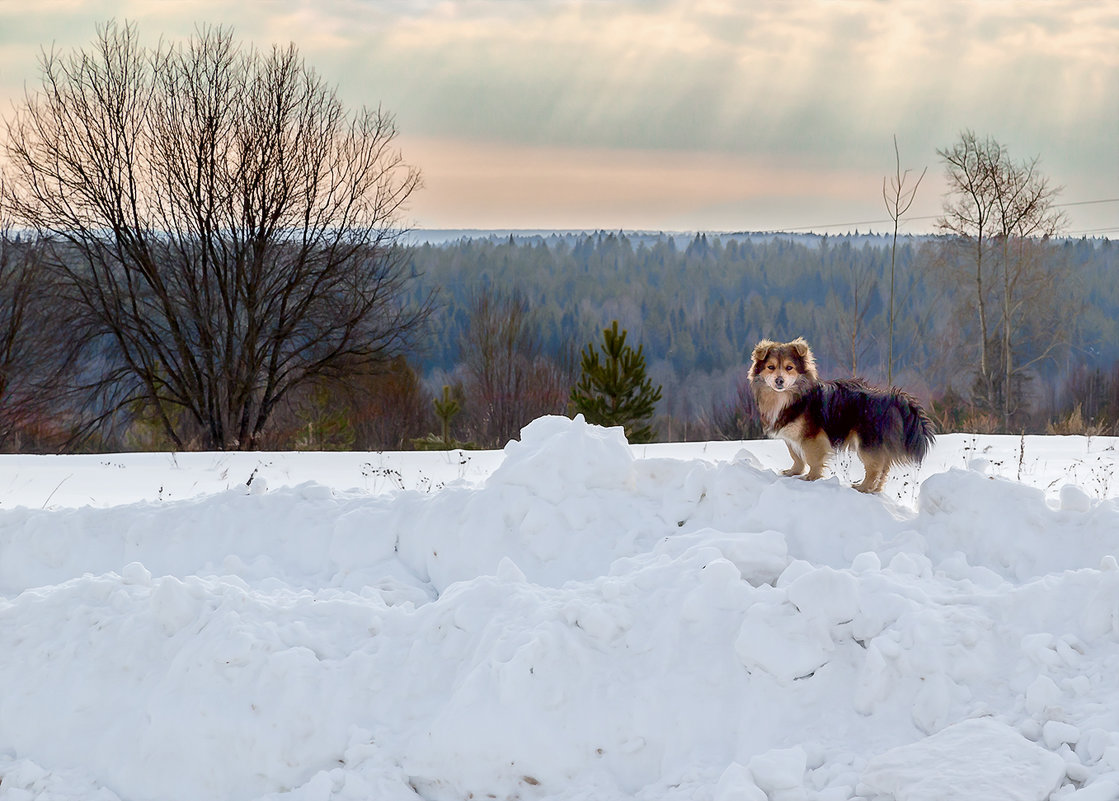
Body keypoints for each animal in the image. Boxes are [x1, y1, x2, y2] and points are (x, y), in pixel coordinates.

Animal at [751, 335, 935, 492]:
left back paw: (863, 487)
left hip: (866, 443)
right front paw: (793, 472)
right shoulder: (791, 437)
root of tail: (890, 398)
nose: (779, 380)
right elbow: (796, 457)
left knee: (874, 468)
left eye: (789, 368)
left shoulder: (812, 438)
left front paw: (811, 478)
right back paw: (875, 489)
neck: (788, 397)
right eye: (771, 367)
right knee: (883, 468)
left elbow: (812, 459)